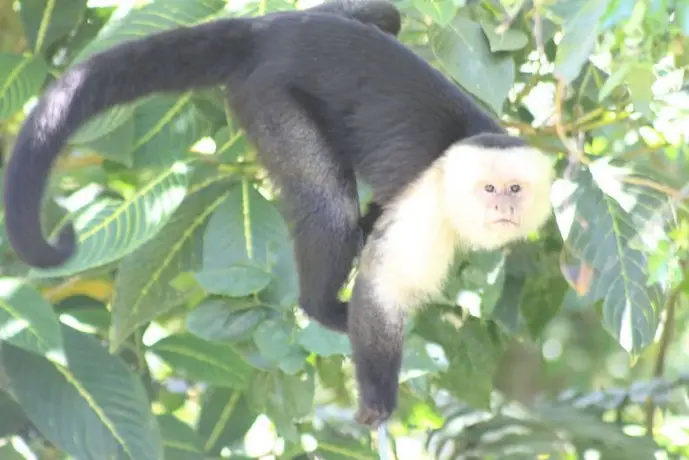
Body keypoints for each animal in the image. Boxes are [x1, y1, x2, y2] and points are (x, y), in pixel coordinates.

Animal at [2, 1, 552, 430]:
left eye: (515, 189)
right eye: (488, 189)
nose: (502, 206)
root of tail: (267, 33)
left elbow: (381, 218)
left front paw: (374, 219)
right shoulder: (428, 210)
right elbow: (381, 291)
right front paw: (377, 399)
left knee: (385, 15)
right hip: (271, 99)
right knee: (329, 206)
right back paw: (322, 307)